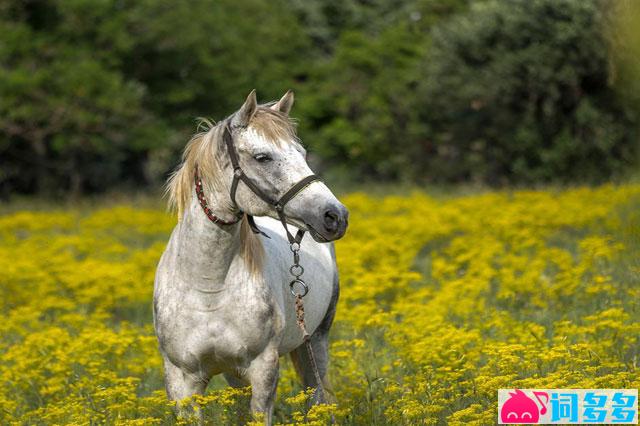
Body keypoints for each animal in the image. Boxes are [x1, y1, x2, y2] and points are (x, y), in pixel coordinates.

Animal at [153, 90, 348, 422]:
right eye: (262, 157)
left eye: (303, 154)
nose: (335, 216)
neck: (208, 287)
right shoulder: (182, 380)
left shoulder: (263, 369)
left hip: (316, 340)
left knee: (318, 396)